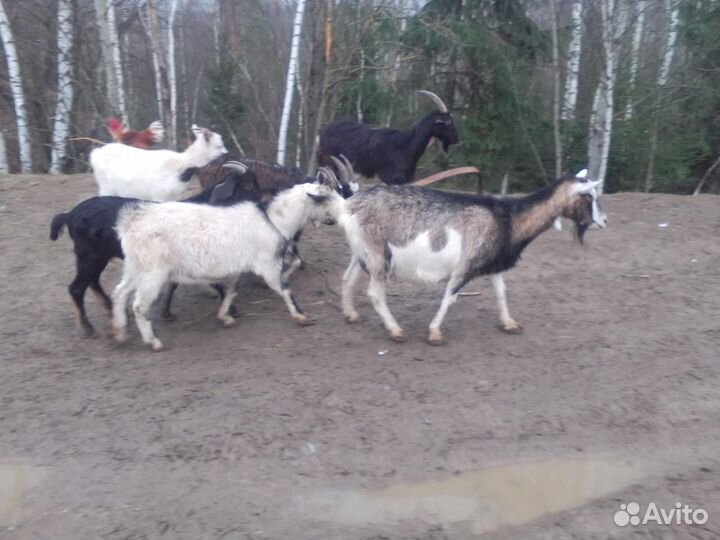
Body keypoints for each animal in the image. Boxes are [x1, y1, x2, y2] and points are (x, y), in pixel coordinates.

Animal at [49, 164, 261, 336]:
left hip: (96, 257)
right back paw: (88, 328)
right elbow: (214, 282)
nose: (261, 204)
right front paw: (231, 310)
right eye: (248, 185)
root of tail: (70, 214)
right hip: (90, 257)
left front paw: (166, 313)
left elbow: (174, 284)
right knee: (77, 288)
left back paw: (113, 310)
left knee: (92, 282)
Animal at [90, 124, 227, 202]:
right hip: (107, 189)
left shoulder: (172, 198)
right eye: (218, 146)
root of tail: (96, 153)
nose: (227, 153)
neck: (181, 165)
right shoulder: (159, 196)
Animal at [111, 181, 343, 351]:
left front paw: (225, 316)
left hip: (135, 266)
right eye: (327, 199)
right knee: (139, 306)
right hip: (153, 272)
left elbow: (232, 290)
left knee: (119, 292)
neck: (274, 221)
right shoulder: (267, 266)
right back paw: (153, 341)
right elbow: (285, 290)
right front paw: (301, 316)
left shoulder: (238, 267)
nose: (336, 220)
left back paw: (120, 332)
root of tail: (131, 222)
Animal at [317, 90, 460, 185]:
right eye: (447, 121)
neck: (406, 145)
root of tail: (322, 132)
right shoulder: (390, 179)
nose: (457, 139)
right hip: (330, 166)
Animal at [337, 169, 608, 344]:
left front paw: (509, 323)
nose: (605, 221)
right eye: (589, 197)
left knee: (348, 278)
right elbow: (450, 297)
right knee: (375, 293)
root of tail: (348, 206)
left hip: (362, 252)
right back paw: (395, 330)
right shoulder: (465, 265)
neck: (508, 218)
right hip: (377, 253)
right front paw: (435, 332)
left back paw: (350, 314)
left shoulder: (493, 263)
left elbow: (501, 292)